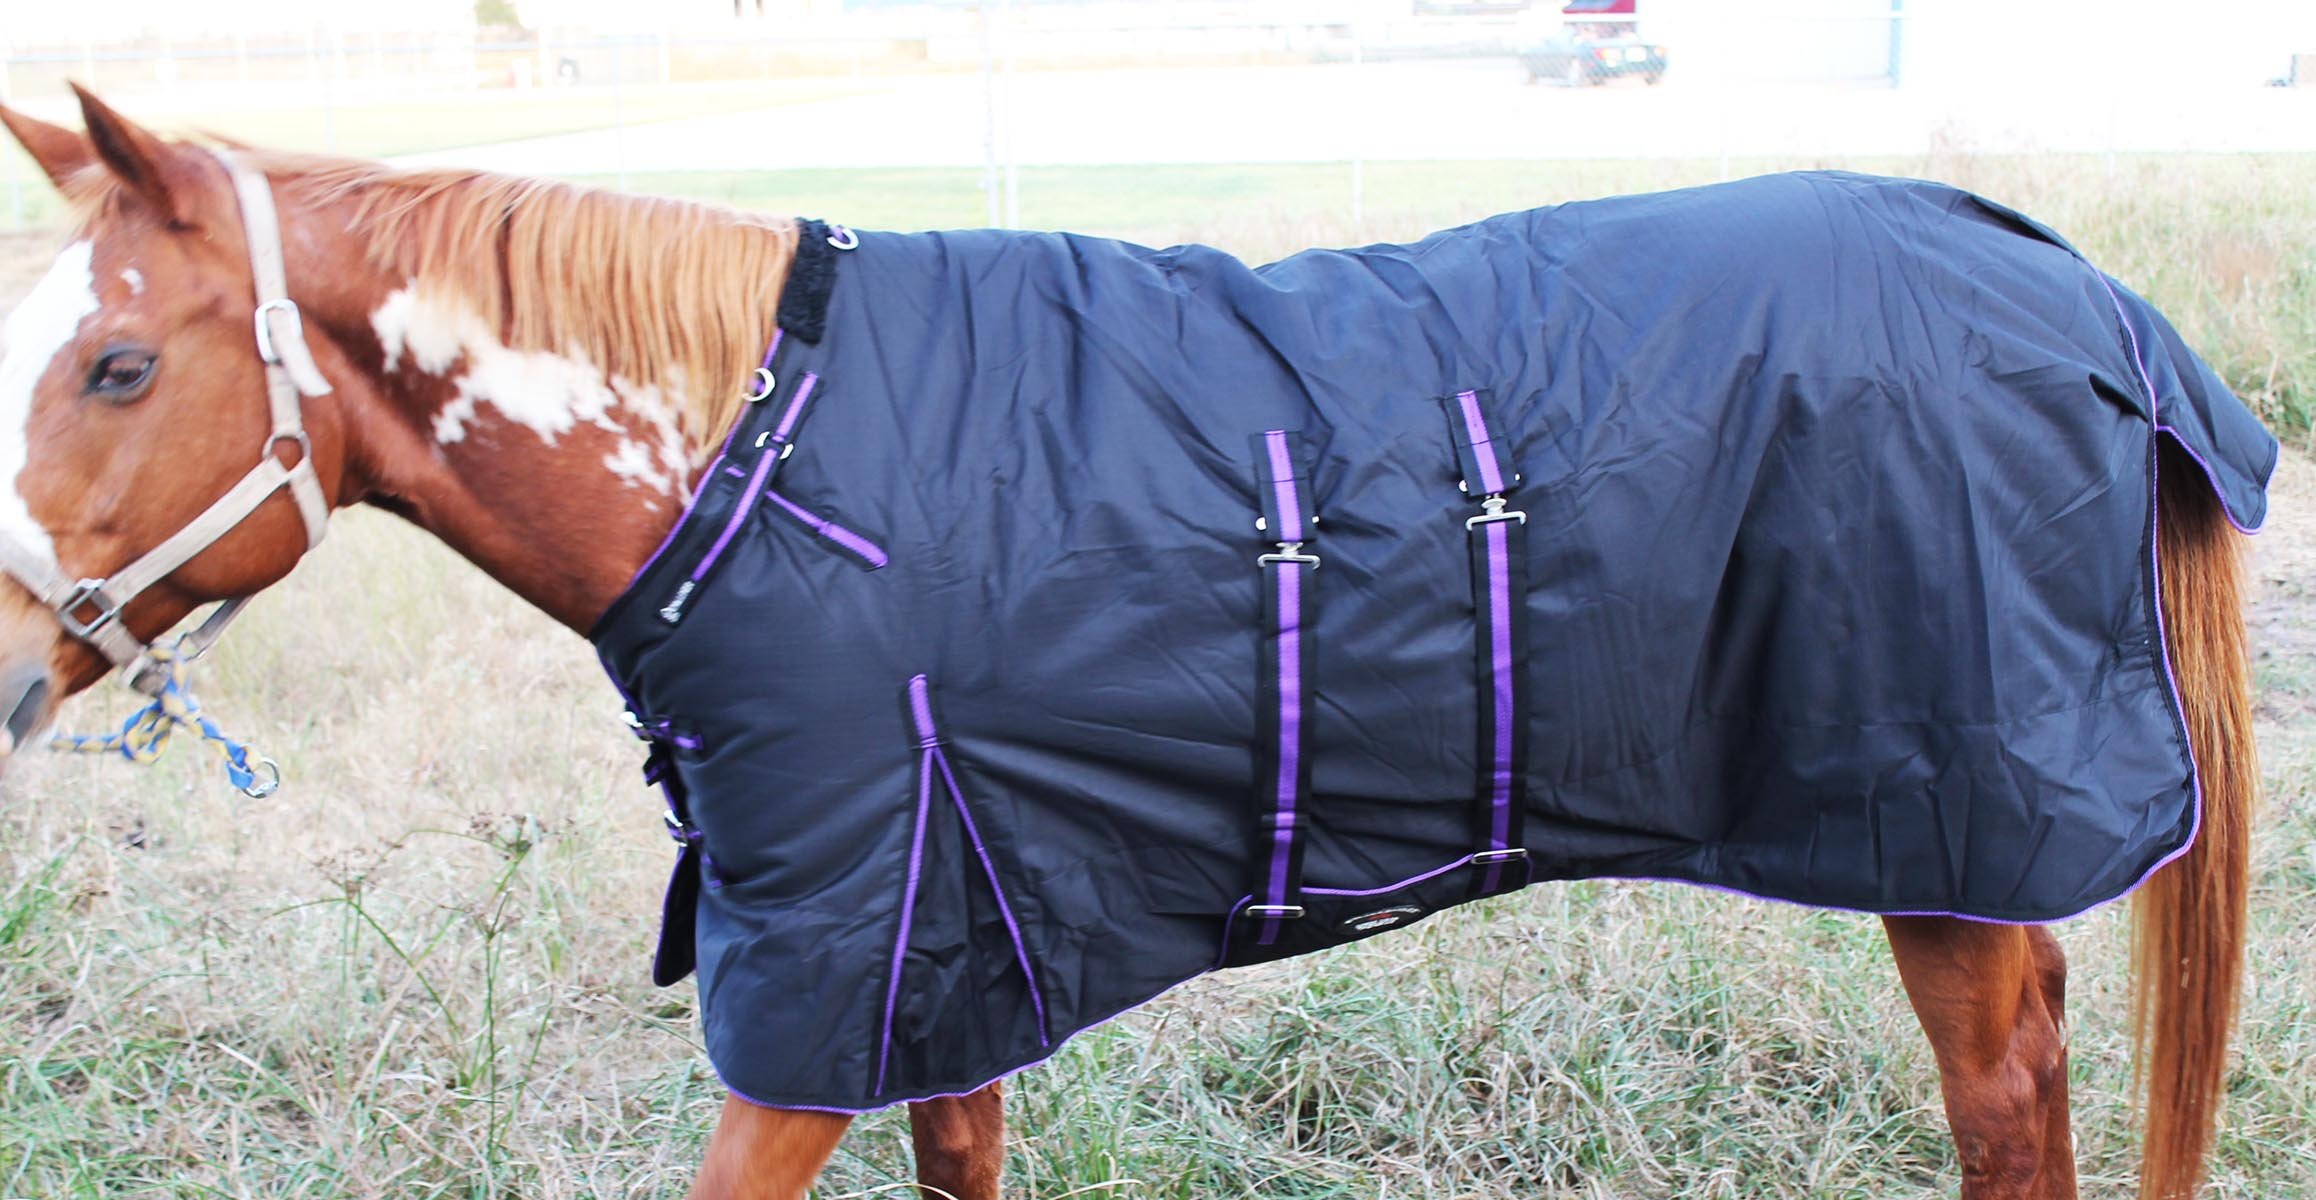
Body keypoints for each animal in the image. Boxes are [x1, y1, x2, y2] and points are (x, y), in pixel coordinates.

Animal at [0, 86, 2258, 1200]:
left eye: (115, 362)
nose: (13, 661)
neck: (755, 451)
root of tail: (2076, 296)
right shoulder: (941, 961)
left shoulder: (828, 973)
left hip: (1945, 846)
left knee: (2010, 1107)